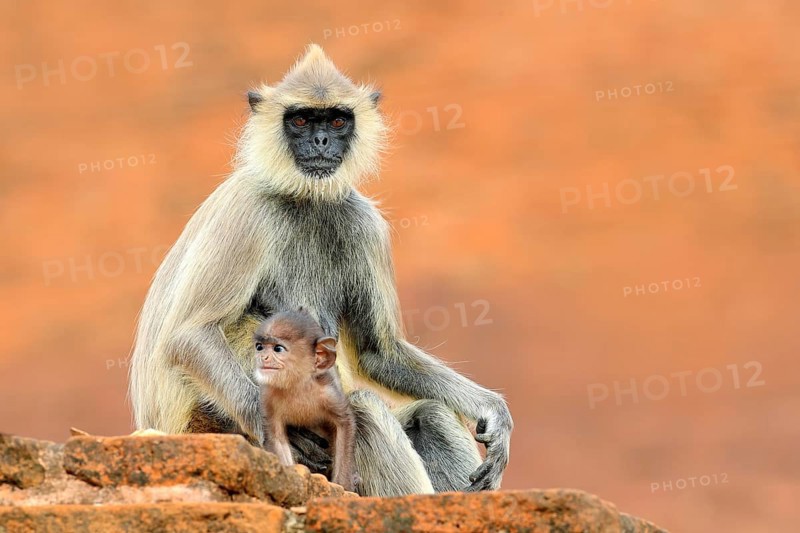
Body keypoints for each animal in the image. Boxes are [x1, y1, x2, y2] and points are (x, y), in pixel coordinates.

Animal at [252, 309, 358, 491]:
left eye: (277, 349)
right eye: (259, 347)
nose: (262, 357)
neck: (296, 385)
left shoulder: (327, 393)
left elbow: (344, 423)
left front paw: (343, 486)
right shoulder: (268, 396)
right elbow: (276, 436)